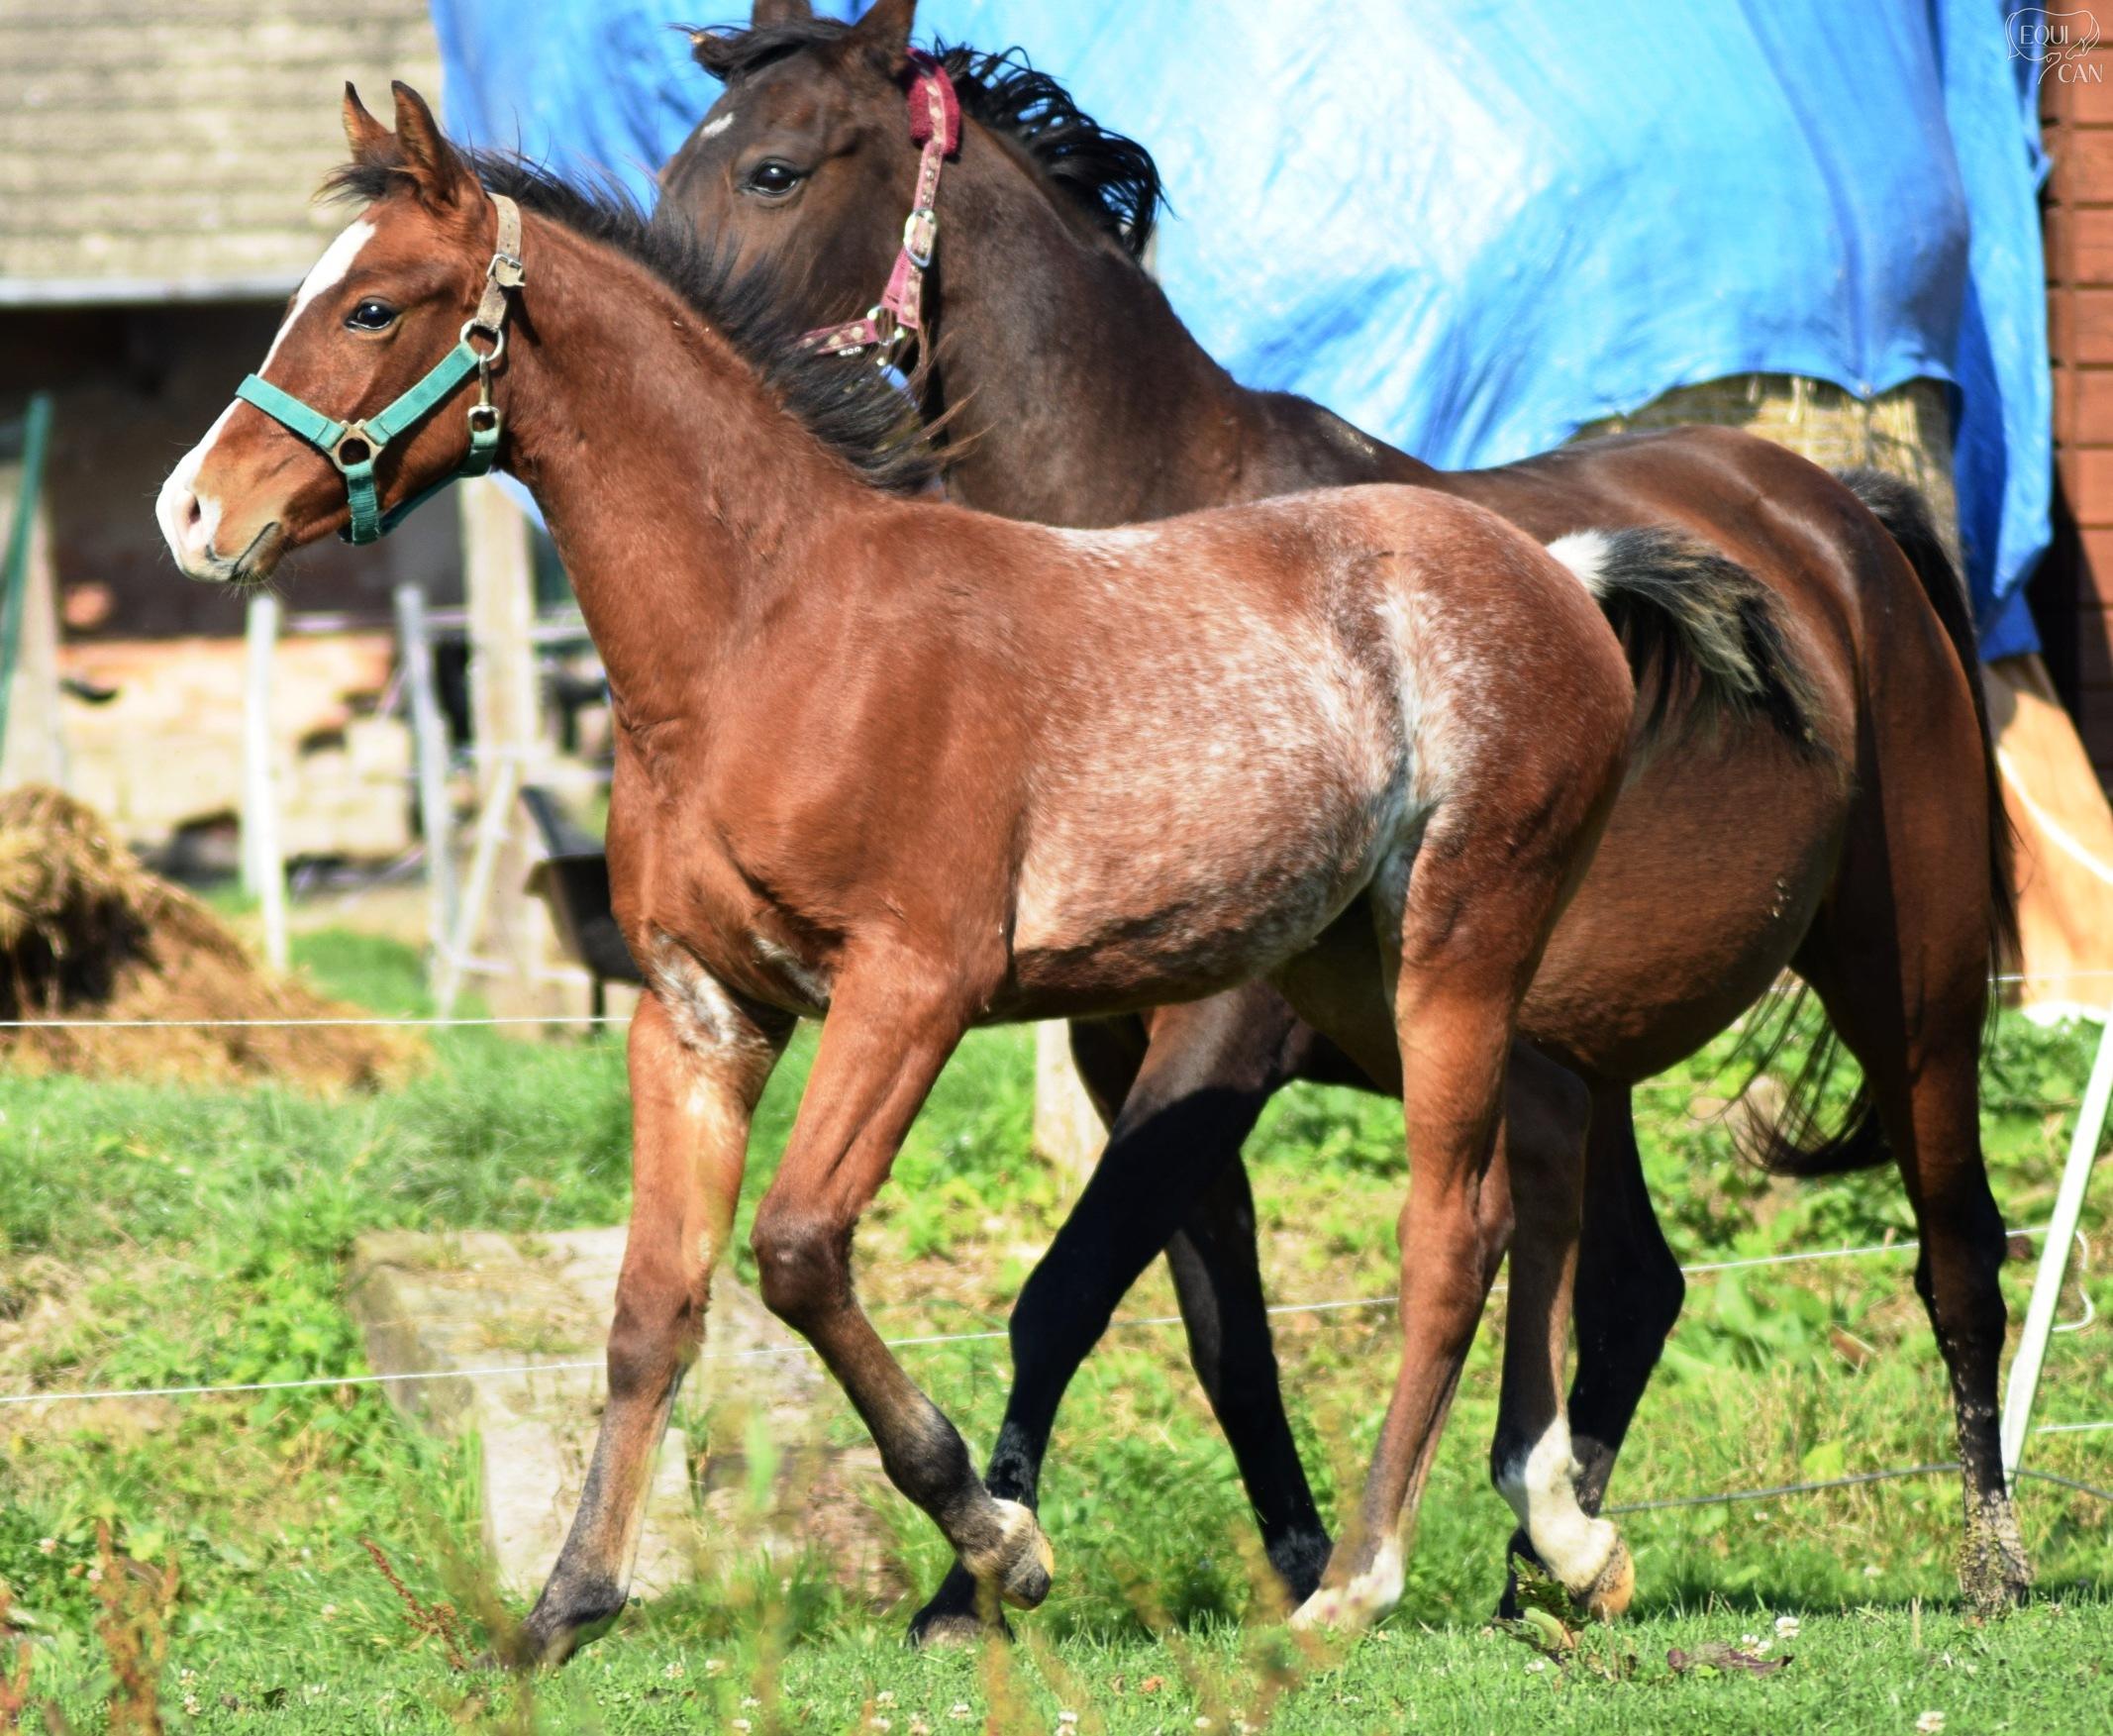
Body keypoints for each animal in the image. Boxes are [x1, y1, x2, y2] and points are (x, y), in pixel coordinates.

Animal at [152, 83, 1814, 1659]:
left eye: (374, 307)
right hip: (1377, 967)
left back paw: (1357, 1581)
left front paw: (999, 1545)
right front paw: (565, 1609)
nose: (193, 511)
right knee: (1547, 1175)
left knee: (1453, 1229)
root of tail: (1564, 574)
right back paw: (1565, 1540)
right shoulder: (696, 1013)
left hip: (1454, 951)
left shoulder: (911, 986)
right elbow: (649, 1310)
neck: (765, 634)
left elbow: (798, 1252)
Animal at [658, 0, 2027, 1642]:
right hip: (1572, 1045)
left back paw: (1987, 1559)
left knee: (1955, 1250)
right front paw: (1288, 1551)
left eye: (776, 172)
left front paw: (973, 1583)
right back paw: (1543, 1563)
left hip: (1909, 990)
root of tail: (1835, 515)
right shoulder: (1134, 1060)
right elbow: (1214, 1332)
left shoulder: (1216, 1043)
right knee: (1633, 1283)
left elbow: (1065, 1288)